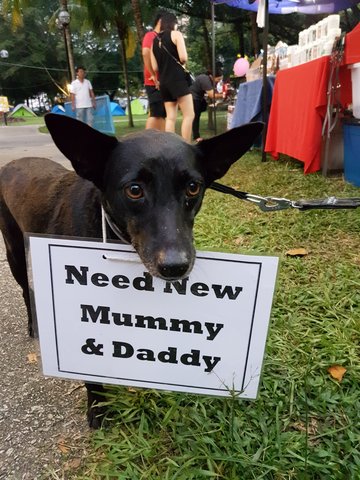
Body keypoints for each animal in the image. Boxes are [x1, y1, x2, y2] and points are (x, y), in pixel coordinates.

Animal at [0, 115, 262, 428]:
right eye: (134, 190)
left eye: (193, 188)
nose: (176, 267)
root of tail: (12, 163)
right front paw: (98, 409)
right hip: (13, 251)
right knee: (25, 288)